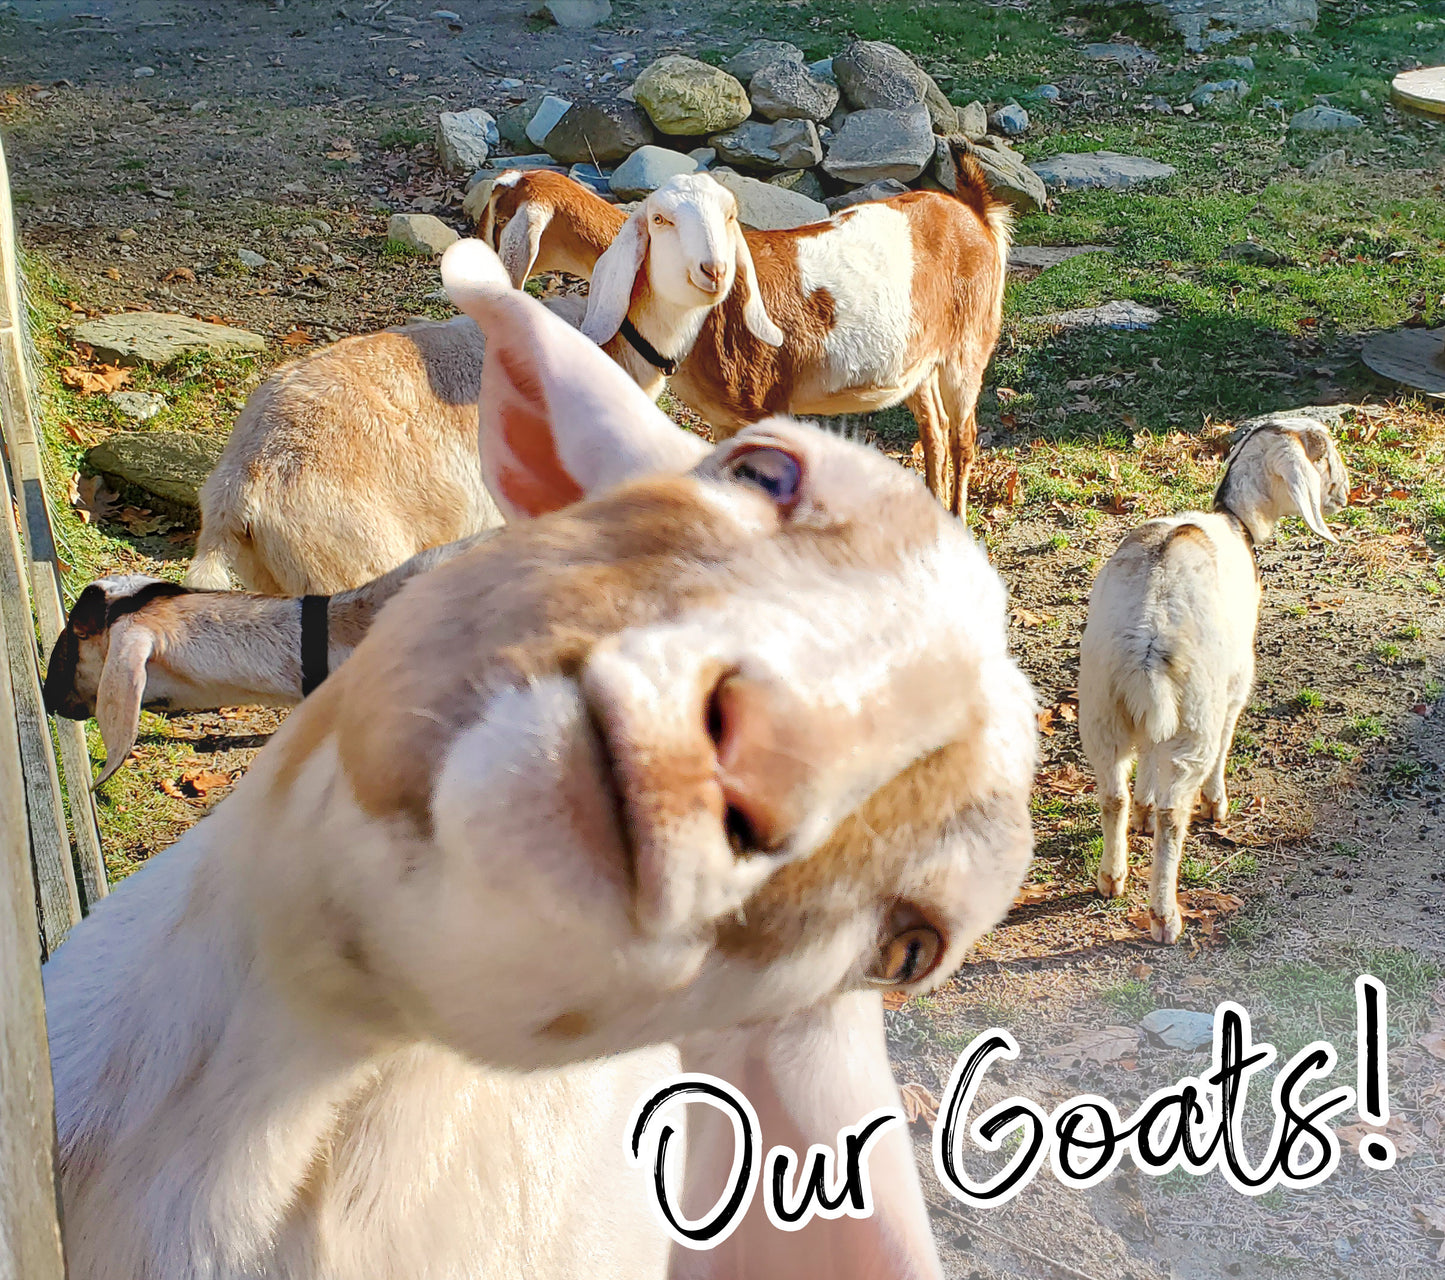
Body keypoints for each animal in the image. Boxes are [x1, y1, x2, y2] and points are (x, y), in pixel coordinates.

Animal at [1080, 421, 1346, 941]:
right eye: (1324, 456)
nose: (1346, 494)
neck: (1234, 521)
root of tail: (1147, 634)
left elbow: (1146, 765)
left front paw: (1142, 811)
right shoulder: (1234, 686)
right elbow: (1224, 746)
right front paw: (1217, 806)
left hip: (1102, 708)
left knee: (1112, 794)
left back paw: (1111, 877)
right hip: (1195, 716)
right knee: (1175, 813)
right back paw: (1165, 916)